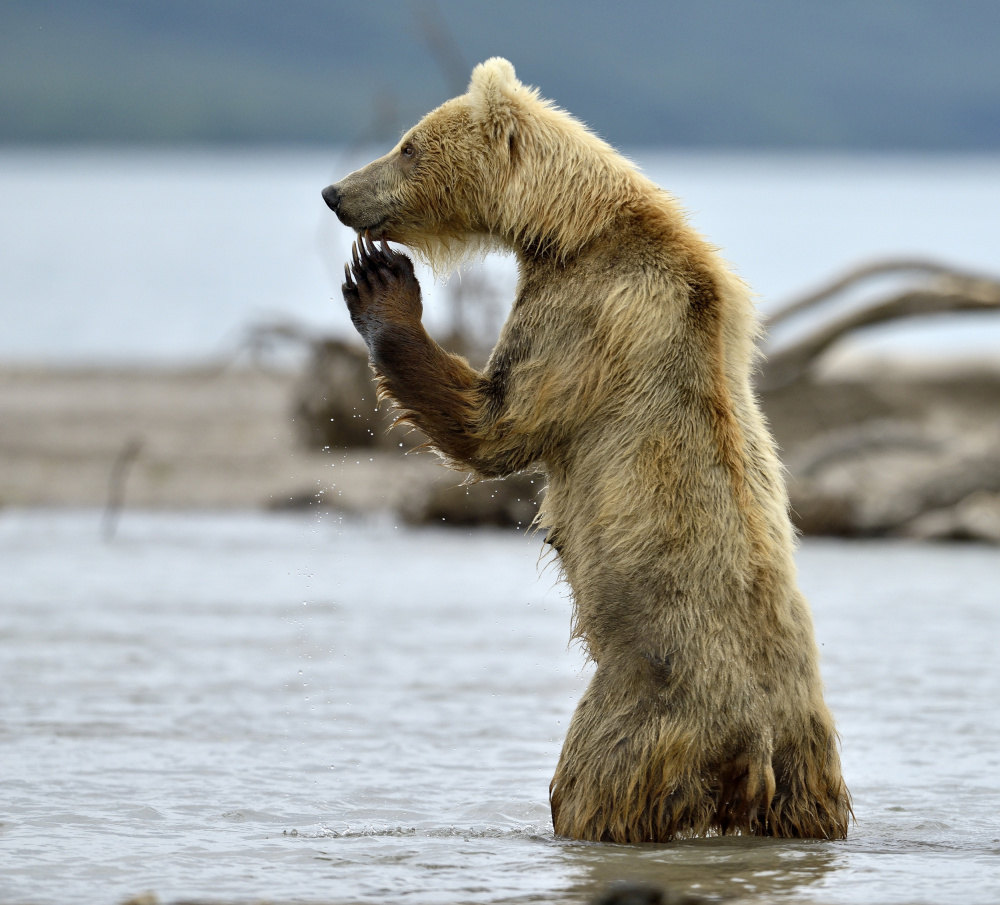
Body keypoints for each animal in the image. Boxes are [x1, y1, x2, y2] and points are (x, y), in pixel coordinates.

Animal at [322, 60, 852, 844]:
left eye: (409, 145)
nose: (336, 192)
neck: (567, 227)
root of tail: (752, 741)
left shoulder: (583, 312)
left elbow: (499, 424)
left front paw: (381, 286)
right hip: (807, 757)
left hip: (643, 710)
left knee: (591, 780)